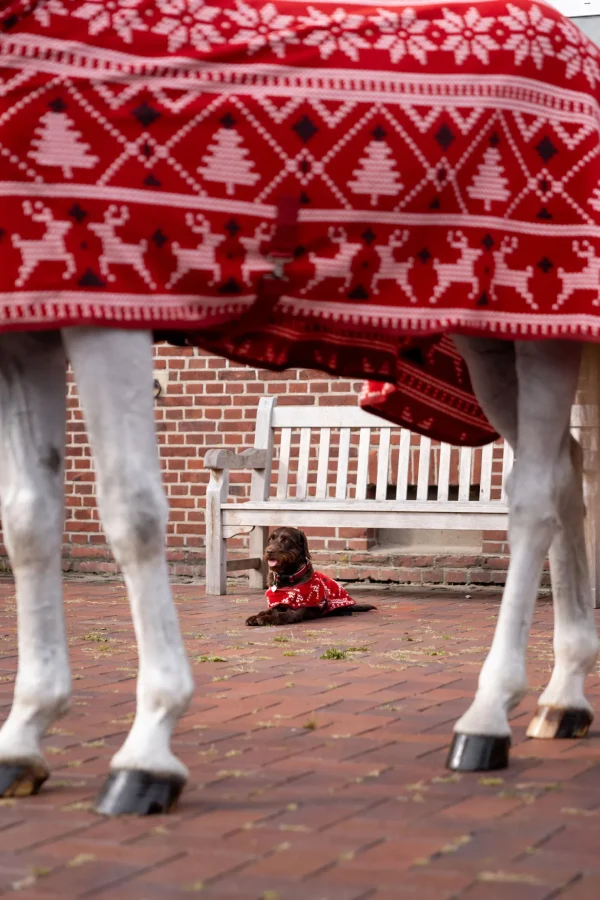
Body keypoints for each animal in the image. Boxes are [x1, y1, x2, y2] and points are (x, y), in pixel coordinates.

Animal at [244, 528, 376, 624]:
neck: (287, 577)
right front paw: (255, 616)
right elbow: (266, 611)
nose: (269, 551)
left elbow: (281, 615)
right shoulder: (276, 605)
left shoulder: (295, 612)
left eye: (286, 540)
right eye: (270, 539)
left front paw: (266, 619)